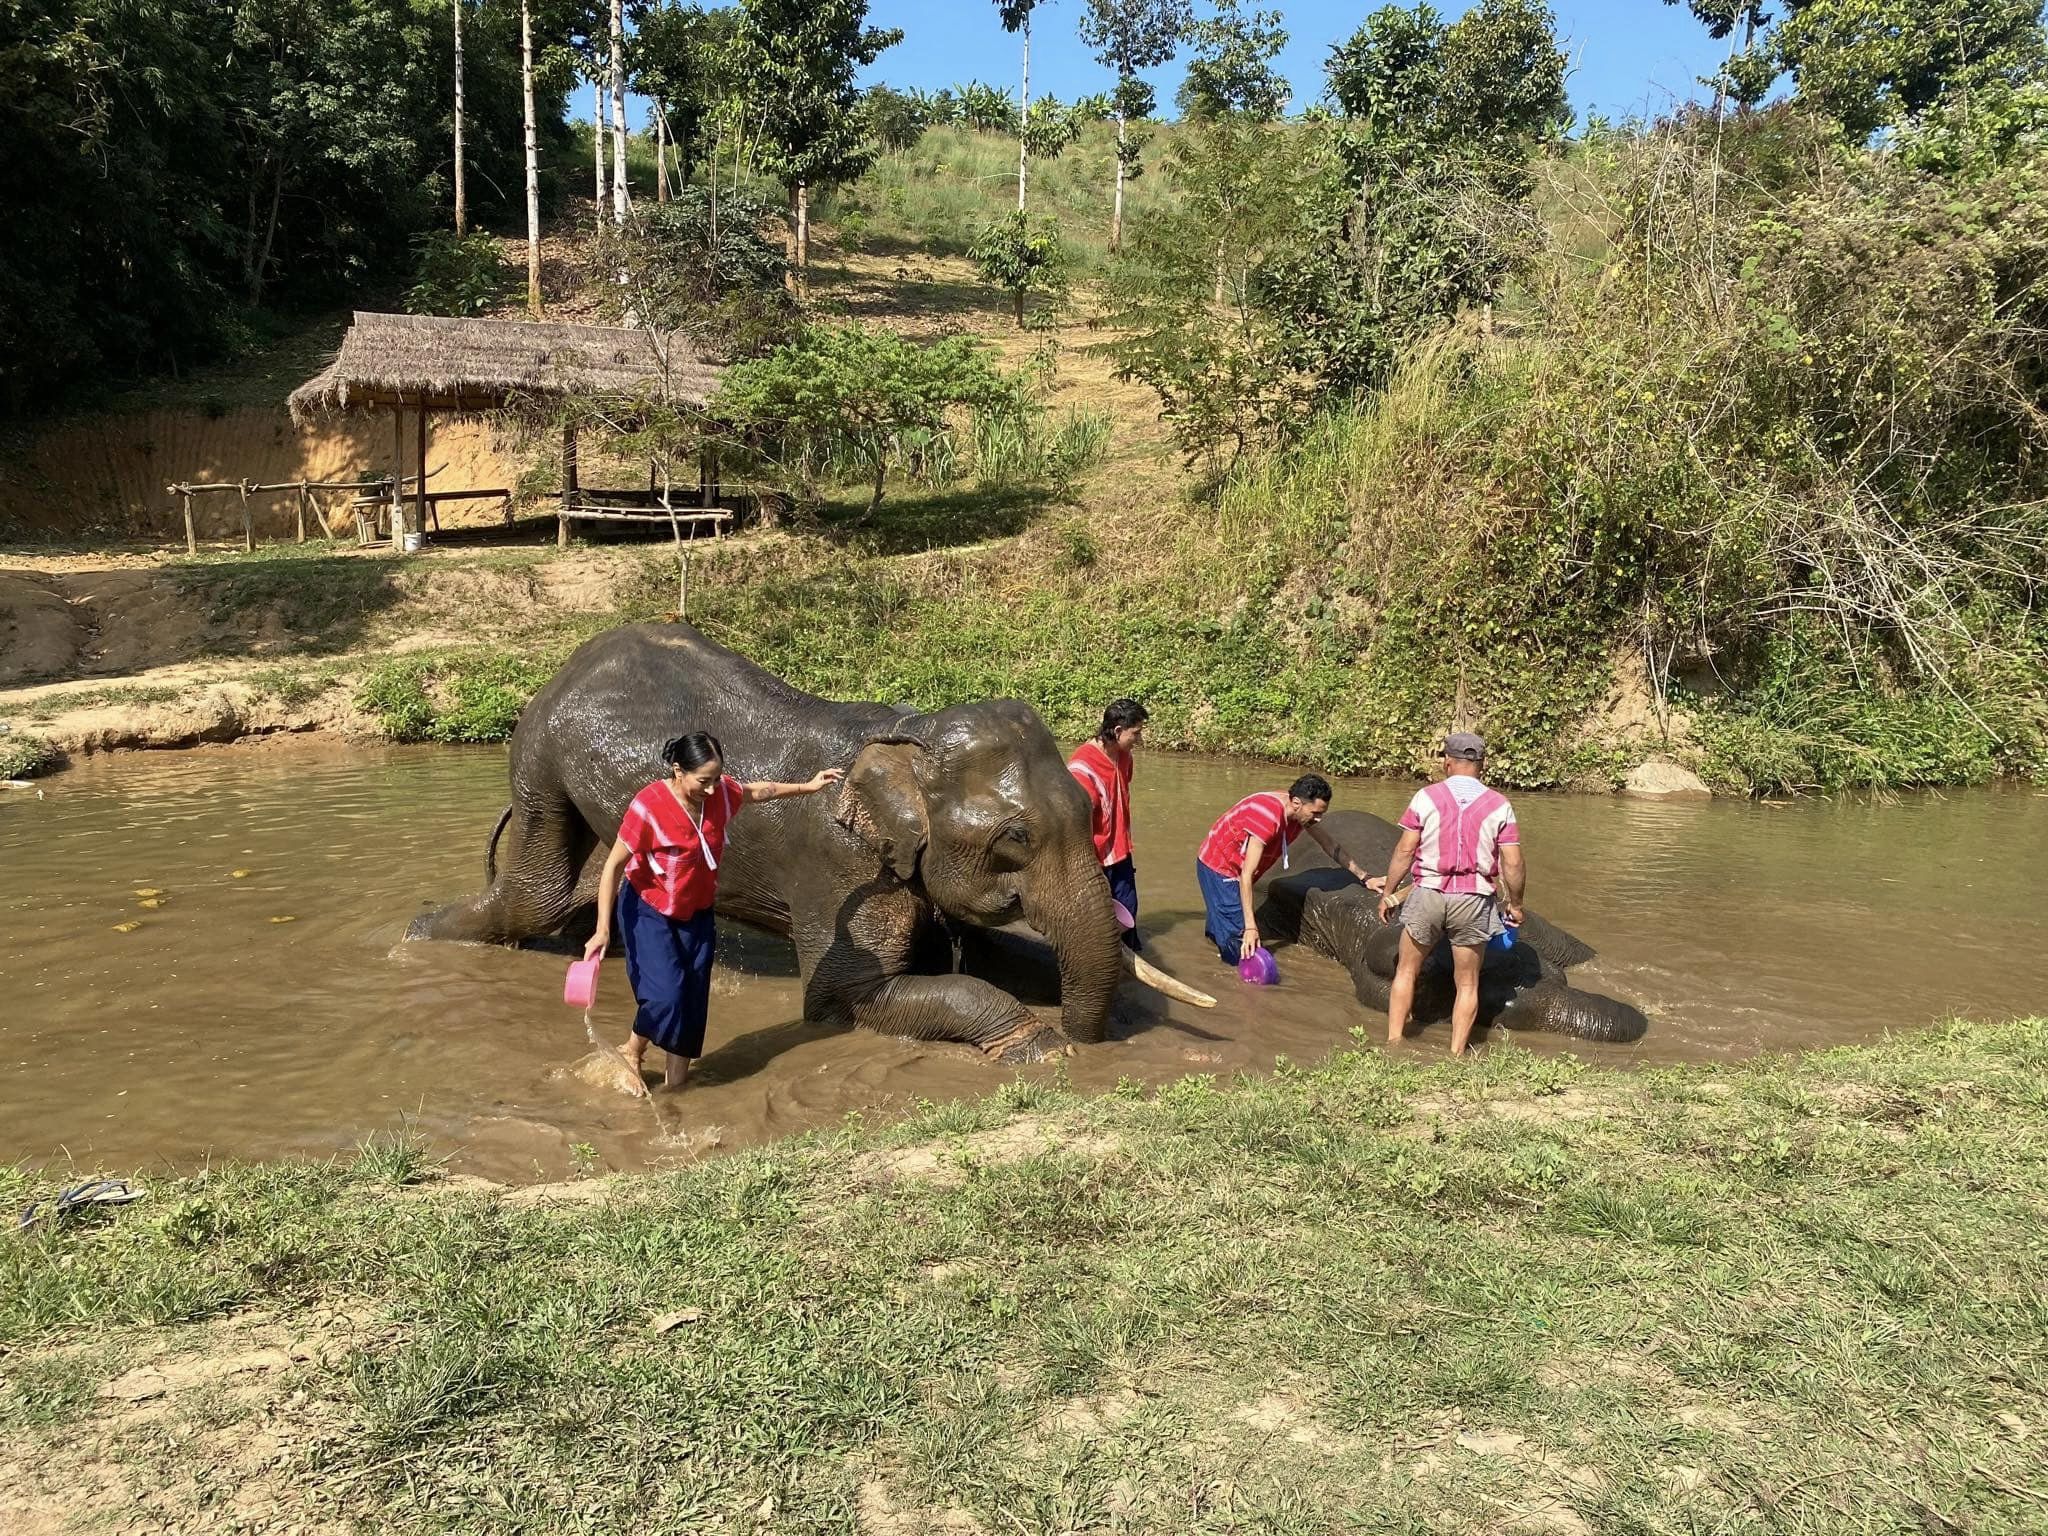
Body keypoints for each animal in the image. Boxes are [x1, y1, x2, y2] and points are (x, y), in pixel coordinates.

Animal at [415, 622, 1212, 1056]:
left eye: (1088, 807)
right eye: (1014, 837)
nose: (1088, 1037)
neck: (907, 738)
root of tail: (564, 667)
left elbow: (986, 955)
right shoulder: (844, 865)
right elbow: (844, 996)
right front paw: (1039, 1047)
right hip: (539, 764)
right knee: (535, 896)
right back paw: (419, 934)